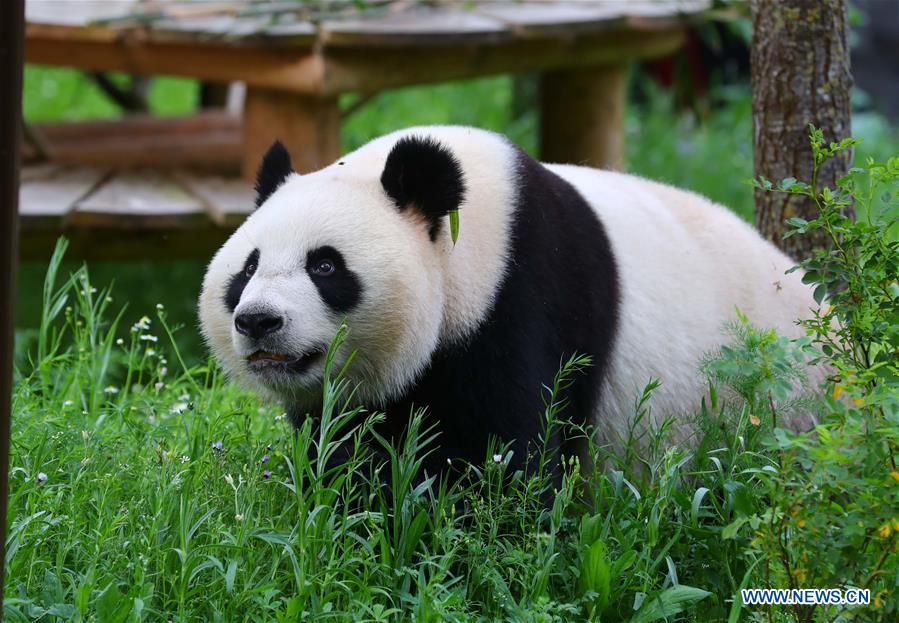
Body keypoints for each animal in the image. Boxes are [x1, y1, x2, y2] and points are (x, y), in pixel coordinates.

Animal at [199, 125, 816, 474]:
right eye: (247, 268)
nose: (258, 321)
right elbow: (344, 449)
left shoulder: (520, 297)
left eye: (325, 266)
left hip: (767, 415)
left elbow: (503, 454)